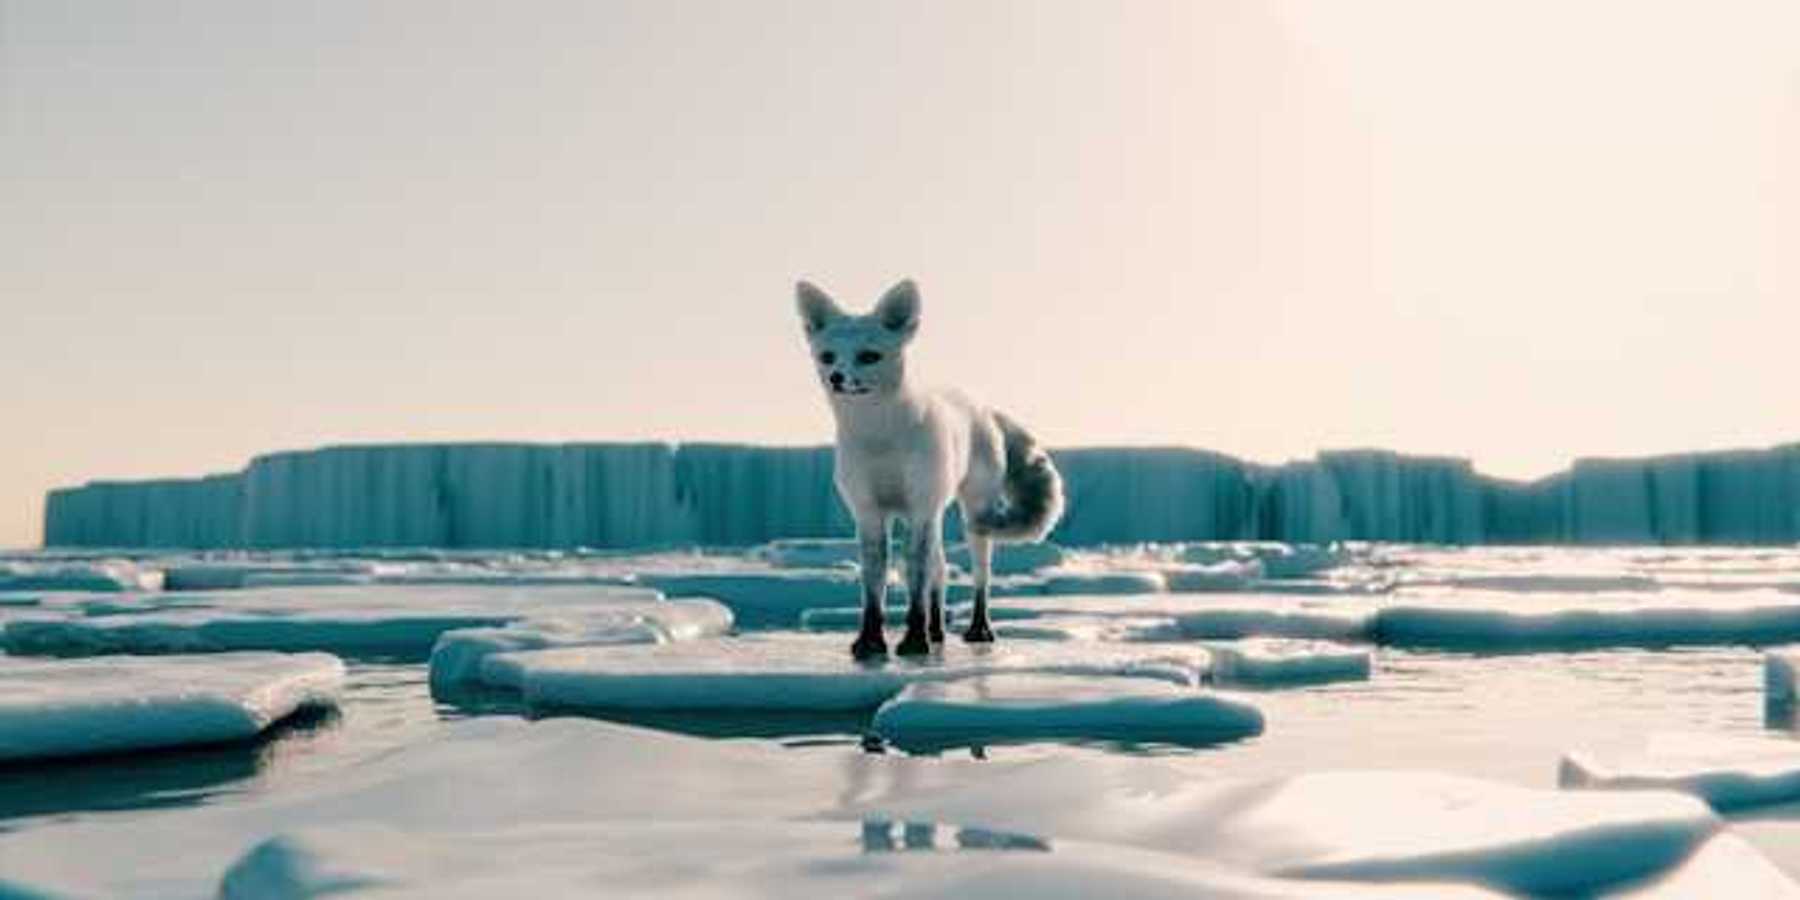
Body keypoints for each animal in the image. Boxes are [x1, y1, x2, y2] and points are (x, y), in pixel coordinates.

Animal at [795, 279, 1064, 658]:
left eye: (868, 356)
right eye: (827, 356)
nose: (836, 377)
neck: (880, 439)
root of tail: (979, 405)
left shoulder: (921, 507)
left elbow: (915, 581)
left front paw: (913, 640)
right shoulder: (868, 512)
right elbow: (874, 586)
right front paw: (871, 642)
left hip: (972, 515)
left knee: (979, 576)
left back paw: (978, 629)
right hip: (931, 518)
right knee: (942, 573)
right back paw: (936, 631)